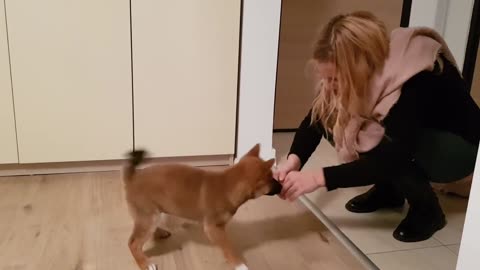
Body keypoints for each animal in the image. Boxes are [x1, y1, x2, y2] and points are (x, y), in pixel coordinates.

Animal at [123, 144, 278, 268]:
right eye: (271, 179)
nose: (281, 186)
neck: (228, 186)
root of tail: (133, 177)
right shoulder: (214, 229)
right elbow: (228, 248)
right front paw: (240, 265)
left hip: (151, 215)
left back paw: (160, 232)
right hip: (148, 216)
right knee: (133, 243)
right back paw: (145, 264)